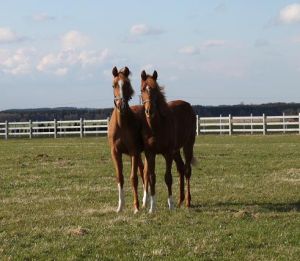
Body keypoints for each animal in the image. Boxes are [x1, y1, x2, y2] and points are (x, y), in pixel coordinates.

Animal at [108, 66, 145, 212]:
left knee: (144, 173)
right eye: (113, 85)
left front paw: (136, 207)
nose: (121, 105)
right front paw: (120, 206)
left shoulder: (134, 151)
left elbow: (133, 178)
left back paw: (145, 201)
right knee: (142, 170)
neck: (122, 124)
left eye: (127, 84)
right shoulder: (115, 152)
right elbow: (120, 177)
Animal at [141, 70, 197, 212]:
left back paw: (187, 201)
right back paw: (180, 200)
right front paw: (152, 208)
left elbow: (168, 178)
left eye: (155, 89)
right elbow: (151, 177)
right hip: (176, 151)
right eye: (142, 89)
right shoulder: (150, 154)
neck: (157, 126)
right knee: (181, 168)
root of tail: (188, 105)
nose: (149, 111)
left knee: (187, 170)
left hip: (187, 145)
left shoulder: (167, 154)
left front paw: (170, 205)